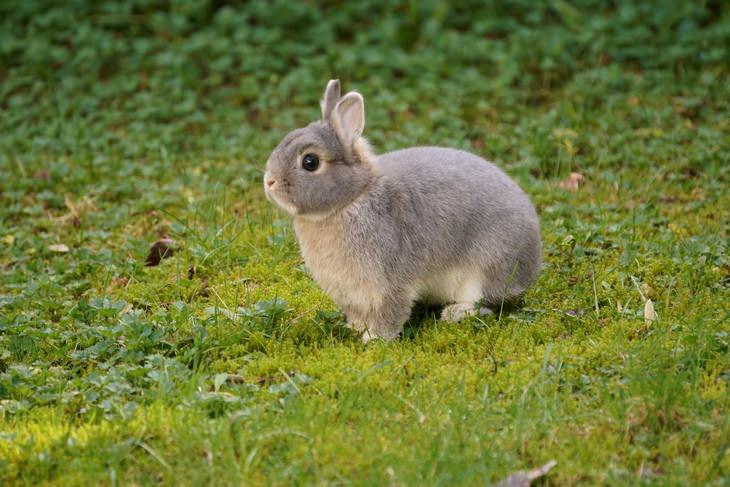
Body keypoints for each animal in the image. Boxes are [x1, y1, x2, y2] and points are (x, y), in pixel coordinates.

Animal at [264, 79, 536, 344]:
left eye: (310, 162)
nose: (269, 182)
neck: (352, 198)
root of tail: (534, 256)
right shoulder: (350, 293)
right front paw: (355, 328)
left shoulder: (389, 283)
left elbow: (391, 312)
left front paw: (374, 338)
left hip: (487, 267)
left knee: (488, 303)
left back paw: (456, 313)